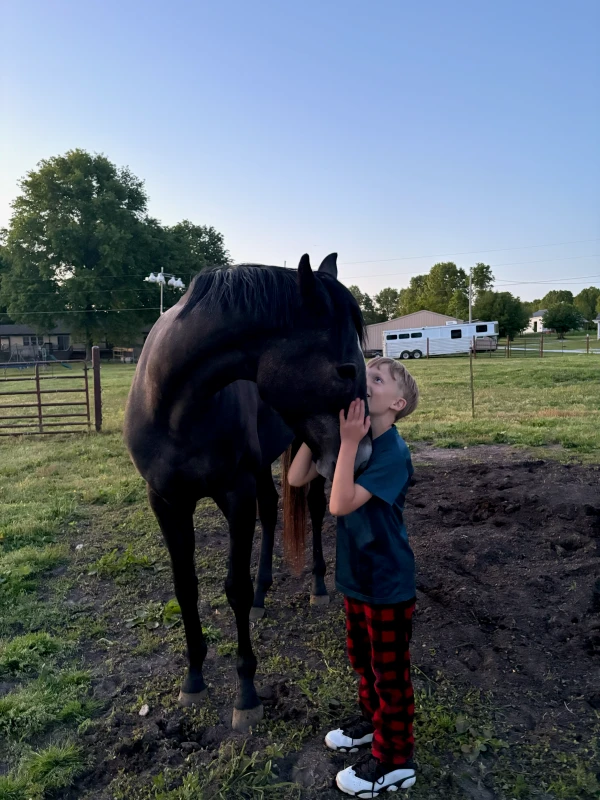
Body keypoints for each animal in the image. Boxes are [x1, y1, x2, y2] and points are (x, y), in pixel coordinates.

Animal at [123, 253, 371, 731]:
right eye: (346, 370)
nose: (364, 453)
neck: (176, 407)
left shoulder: (235, 495)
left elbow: (233, 587)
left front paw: (246, 692)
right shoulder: (165, 502)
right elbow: (185, 587)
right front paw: (194, 677)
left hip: (308, 459)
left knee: (313, 511)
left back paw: (317, 585)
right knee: (272, 512)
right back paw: (262, 595)